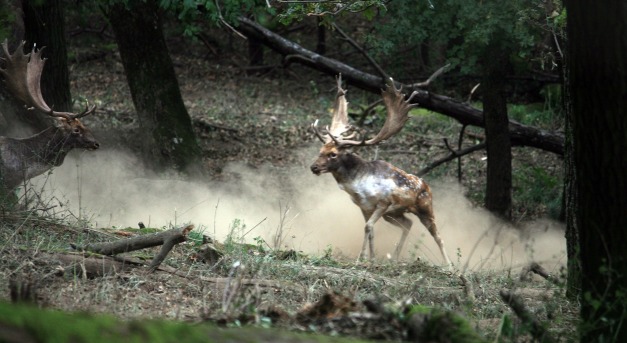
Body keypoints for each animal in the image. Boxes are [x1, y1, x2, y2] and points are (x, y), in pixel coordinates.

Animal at [310, 76, 452, 268]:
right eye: (320, 150)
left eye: (333, 154)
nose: (314, 167)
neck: (358, 187)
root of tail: (428, 187)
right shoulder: (365, 207)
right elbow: (370, 229)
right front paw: (371, 259)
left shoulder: (383, 203)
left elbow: (368, 227)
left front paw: (361, 258)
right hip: (394, 214)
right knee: (408, 223)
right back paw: (395, 257)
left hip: (425, 207)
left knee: (437, 236)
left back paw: (449, 265)